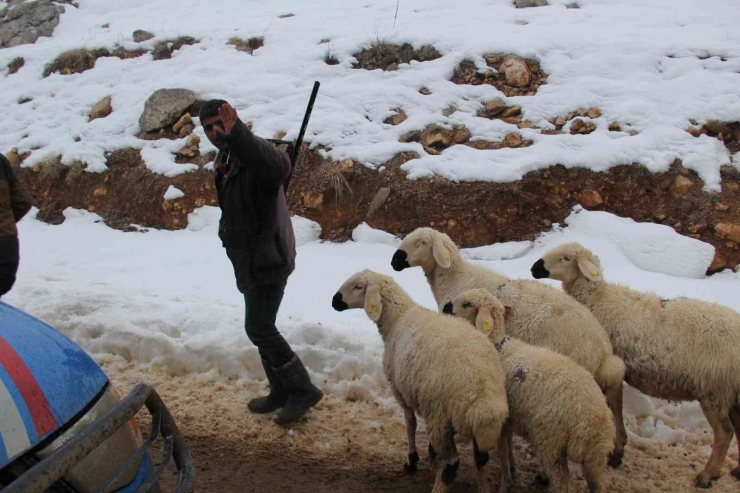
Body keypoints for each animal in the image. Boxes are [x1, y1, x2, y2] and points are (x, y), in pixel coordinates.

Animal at [334, 270, 512, 492]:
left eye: (358, 286)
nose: (334, 301)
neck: (398, 318)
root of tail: (485, 403)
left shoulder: (400, 390)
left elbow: (410, 423)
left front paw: (412, 460)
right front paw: (429, 452)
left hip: (440, 417)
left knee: (450, 466)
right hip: (471, 428)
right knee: (481, 459)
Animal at [390, 227, 628, 466]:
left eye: (421, 242)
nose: (394, 261)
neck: (454, 279)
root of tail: (603, 352)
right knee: (615, 398)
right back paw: (617, 449)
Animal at [448, 288, 616, 492]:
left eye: (467, 304)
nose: (446, 308)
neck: (499, 347)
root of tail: (595, 426)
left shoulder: (501, 421)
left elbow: (503, 454)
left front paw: (505, 483)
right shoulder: (510, 418)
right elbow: (508, 447)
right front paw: (512, 471)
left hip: (551, 443)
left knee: (563, 485)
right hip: (594, 461)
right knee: (597, 484)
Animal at [536, 240, 740, 486]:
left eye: (566, 258)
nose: (535, 268)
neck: (598, 298)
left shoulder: (610, 369)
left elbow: (614, 406)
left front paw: (617, 450)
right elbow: (615, 406)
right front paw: (618, 449)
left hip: (713, 389)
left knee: (725, 433)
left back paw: (707, 475)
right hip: (731, 392)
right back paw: (737, 471)